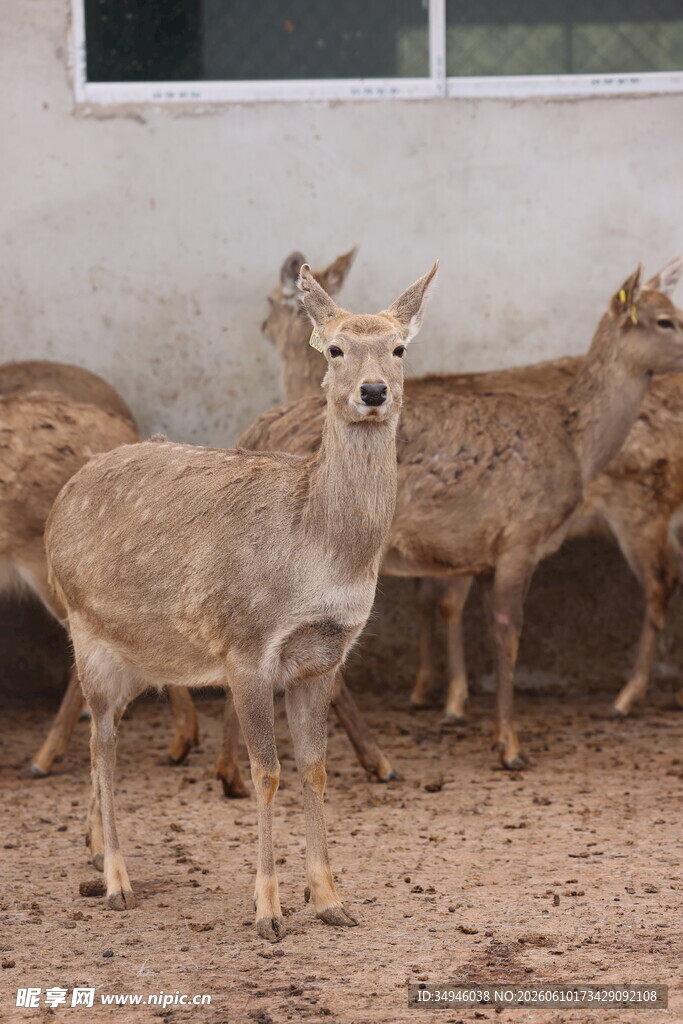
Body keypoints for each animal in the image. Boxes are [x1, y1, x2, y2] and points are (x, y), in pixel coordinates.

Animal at [44, 263, 437, 938]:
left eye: (399, 348)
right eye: (335, 349)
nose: (373, 391)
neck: (320, 555)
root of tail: (60, 504)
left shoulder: (322, 658)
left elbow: (315, 768)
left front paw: (330, 899)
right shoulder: (247, 646)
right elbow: (266, 772)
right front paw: (268, 910)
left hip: (135, 652)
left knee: (103, 731)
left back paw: (94, 850)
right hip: (89, 634)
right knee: (103, 743)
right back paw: (118, 880)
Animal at [219, 261, 683, 772]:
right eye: (665, 320)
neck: (575, 448)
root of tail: (250, 431)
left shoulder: (481, 553)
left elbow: (477, 622)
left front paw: (486, 728)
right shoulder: (520, 535)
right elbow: (508, 632)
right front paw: (510, 748)